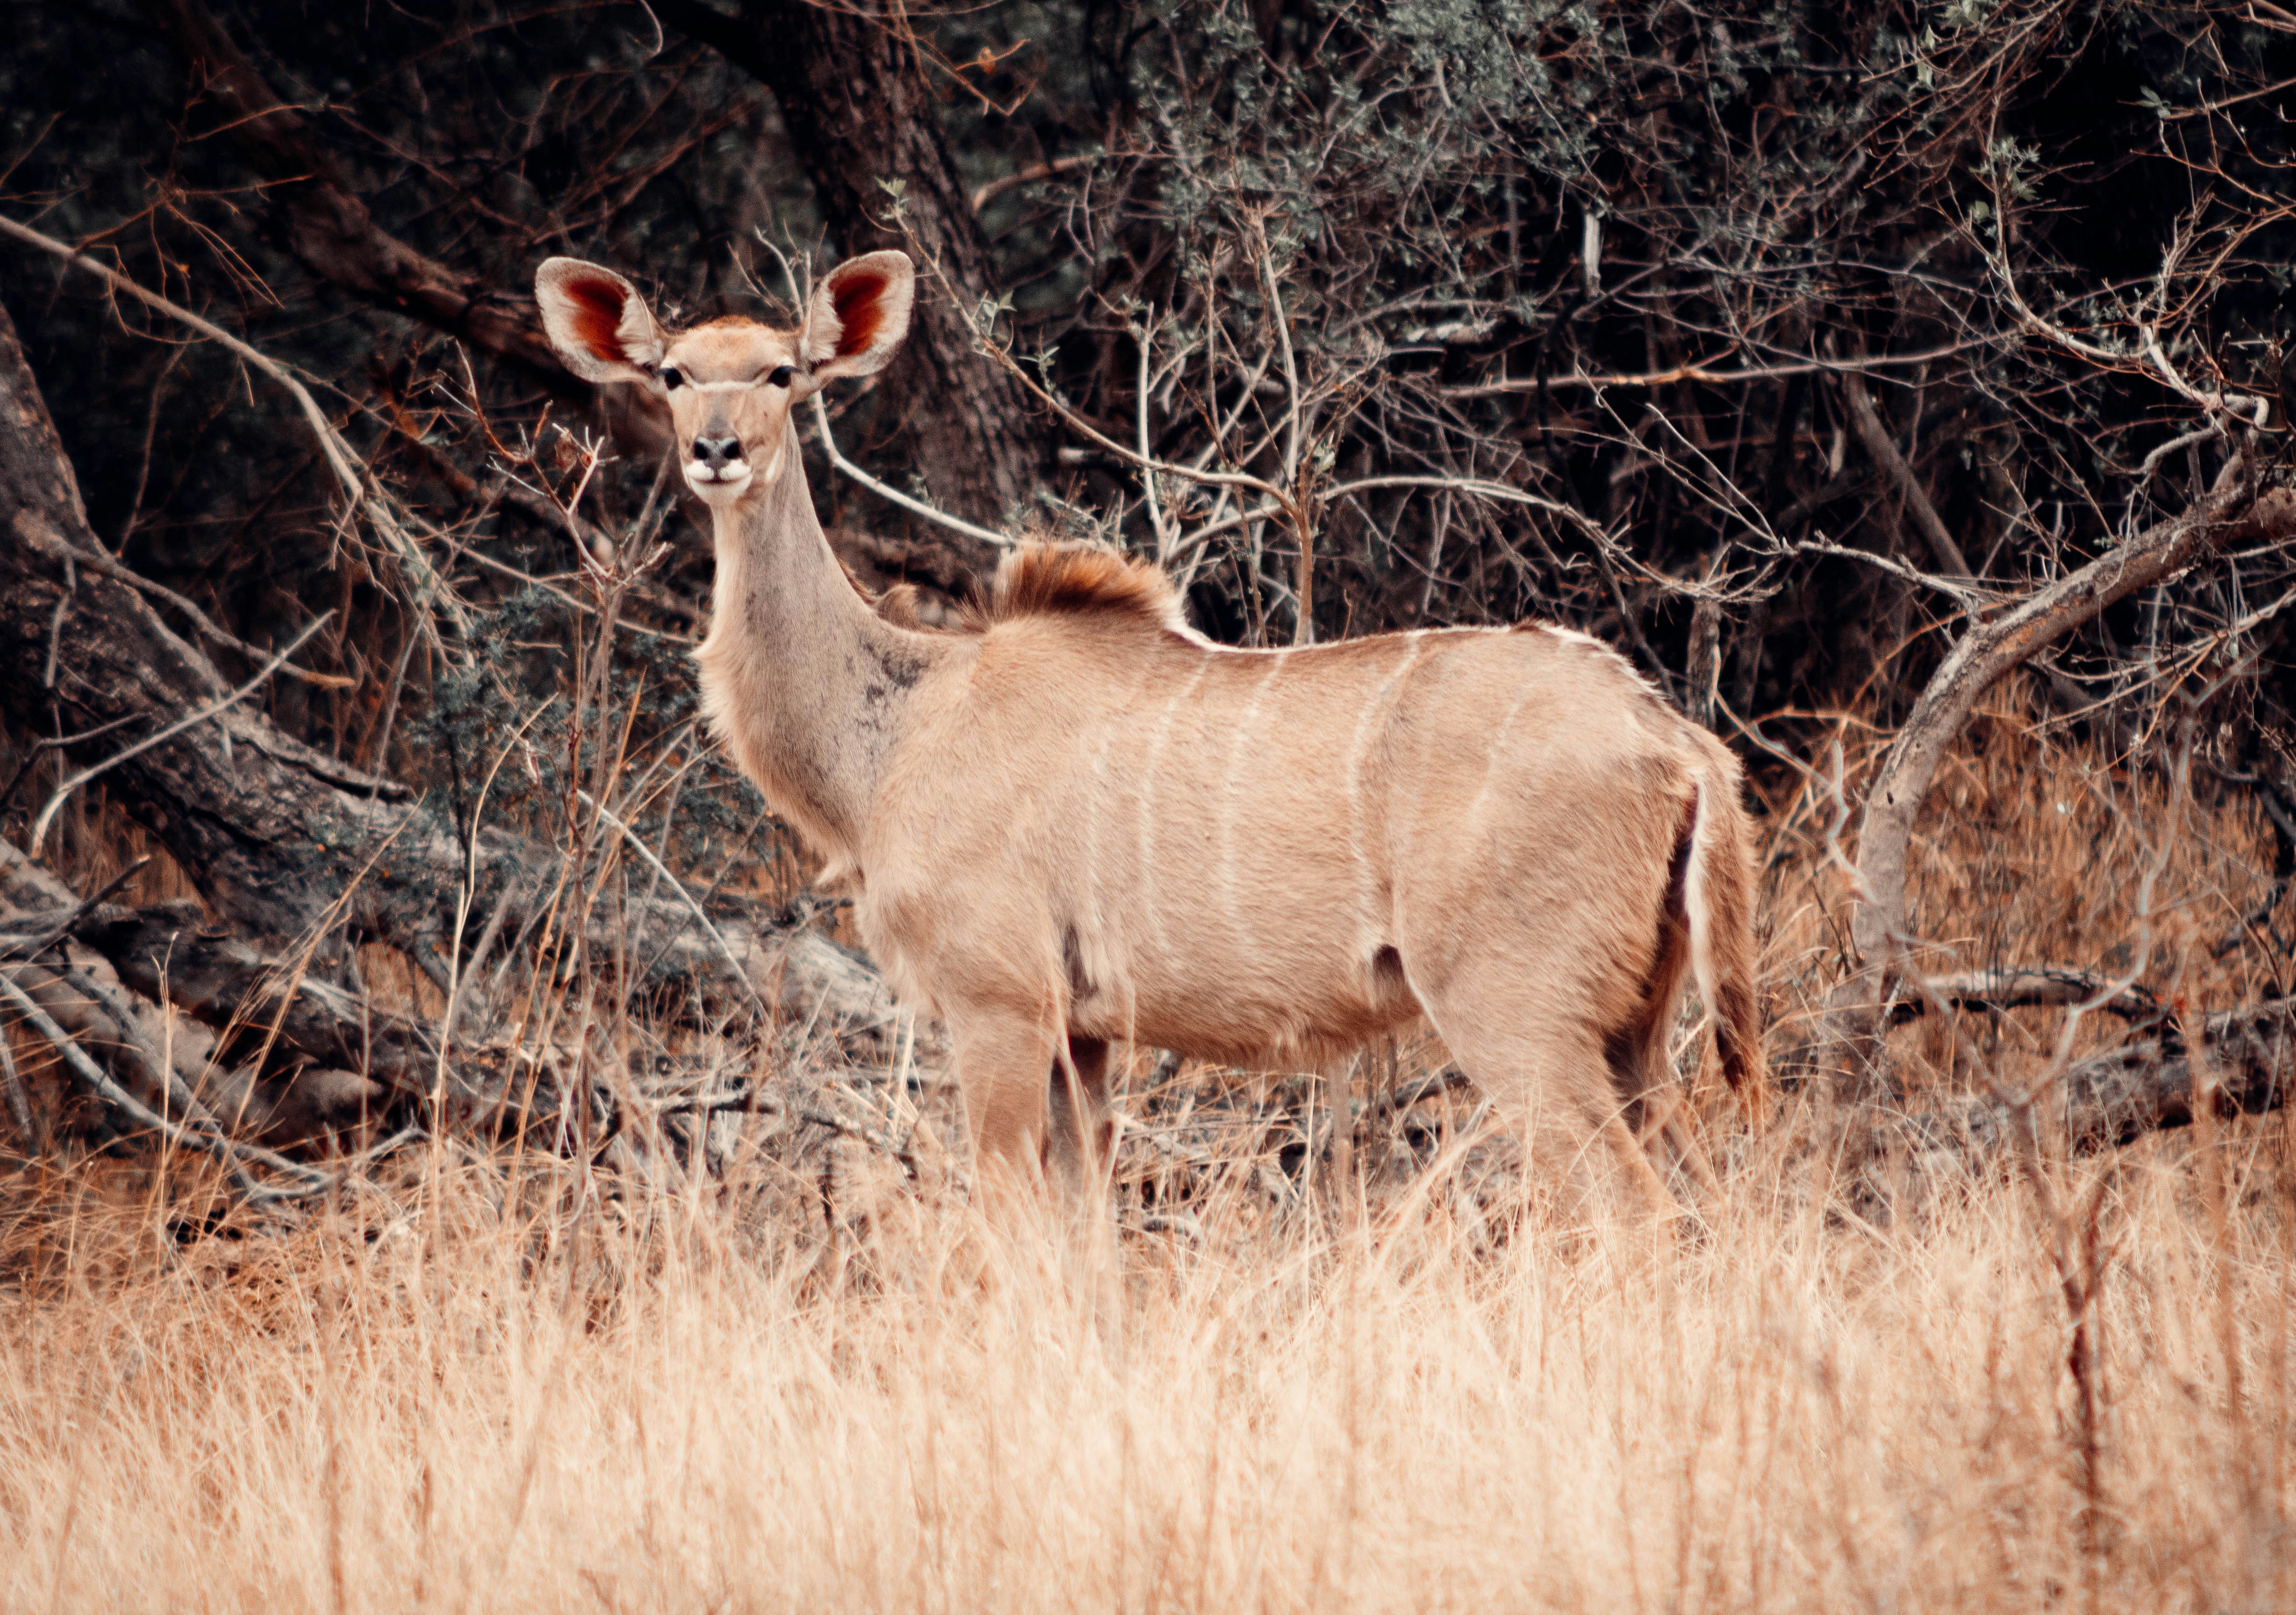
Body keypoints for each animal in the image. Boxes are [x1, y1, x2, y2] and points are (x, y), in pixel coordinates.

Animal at [535, 247, 1766, 1217]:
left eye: (783, 373)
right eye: (673, 372)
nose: (717, 450)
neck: (900, 727)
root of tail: (1677, 746)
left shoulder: (995, 998)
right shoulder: (1083, 1034)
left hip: (1516, 1012)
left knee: (1633, 1207)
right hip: (1632, 1029)